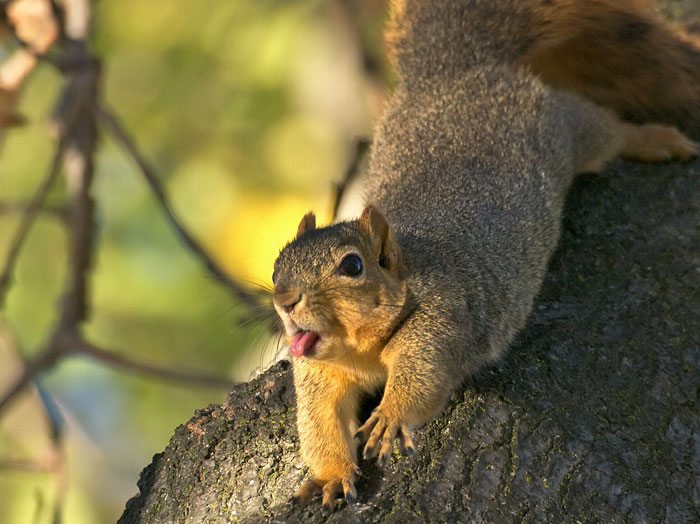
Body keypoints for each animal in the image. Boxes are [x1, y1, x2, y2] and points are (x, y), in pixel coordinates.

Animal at [270, 0, 700, 510]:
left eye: (352, 265)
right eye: (276, 267)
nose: (284, 301)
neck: (361, 350)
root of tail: (455, 73)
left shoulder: (445, 319)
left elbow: (424, 378)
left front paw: (391, 415)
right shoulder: (319, 374)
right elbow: (319, 425)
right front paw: (330, 475)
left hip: (564, 126)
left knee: (605, 128)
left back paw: (654, 139)